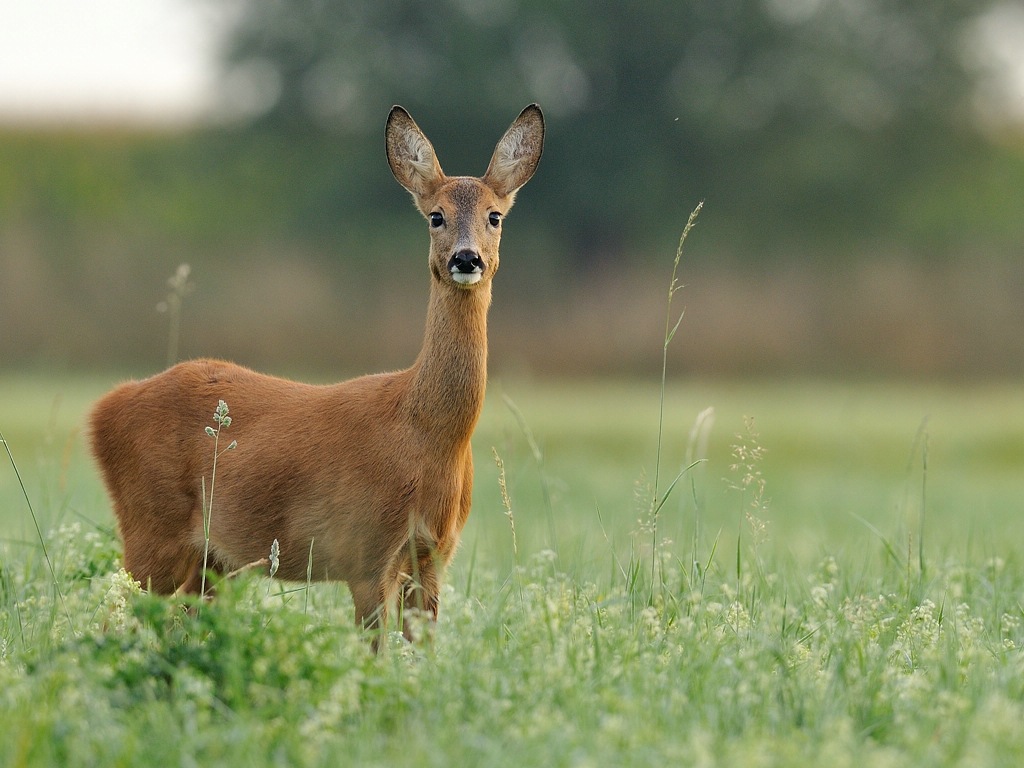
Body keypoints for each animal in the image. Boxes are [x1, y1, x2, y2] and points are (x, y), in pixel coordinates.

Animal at [88, 104, 544, 644]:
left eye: (495, 216)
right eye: (436, 216)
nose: (466, 258)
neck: (424, 434)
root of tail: (105, 408)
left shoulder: (433, 556)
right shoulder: (364, 550)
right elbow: (374, 651)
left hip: (214, 560)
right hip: (151, 525)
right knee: (112, 612)